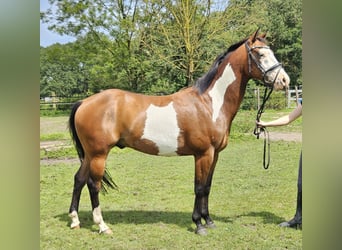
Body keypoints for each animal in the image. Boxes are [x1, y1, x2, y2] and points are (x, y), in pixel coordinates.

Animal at [68, 29, 290, 236]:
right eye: (260, 54)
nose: (284, 81)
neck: (210, 103)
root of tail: (84, 102)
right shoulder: (203, 154)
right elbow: (199, 187)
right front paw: (199, 224)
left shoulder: (214, 154)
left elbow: (207, 186)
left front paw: (209, 221)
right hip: (99, 154)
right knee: (93, 184)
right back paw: (102, 226)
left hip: (90, 154)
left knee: (79, 179)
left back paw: (75, 221)